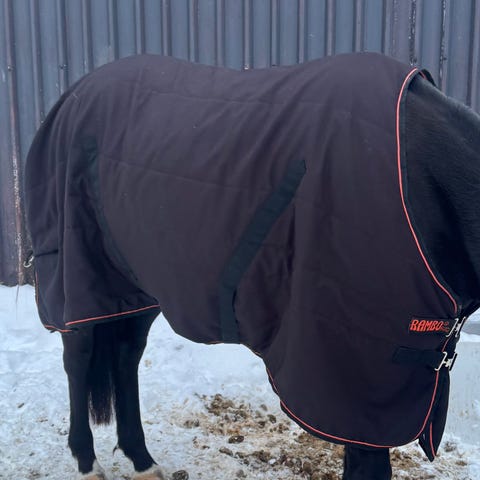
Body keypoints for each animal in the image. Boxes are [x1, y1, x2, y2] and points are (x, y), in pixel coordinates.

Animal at [24, 52, 480, 479]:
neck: (416, 184)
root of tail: (72, 96)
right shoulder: (355, 391)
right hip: (78, 278)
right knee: (78, 359)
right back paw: (88, 463)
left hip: (135, 287)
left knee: (125, 357)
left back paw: (142, 461)